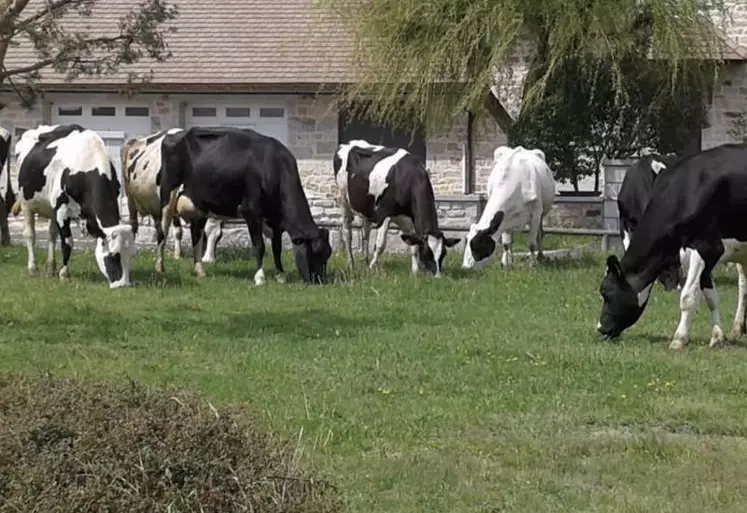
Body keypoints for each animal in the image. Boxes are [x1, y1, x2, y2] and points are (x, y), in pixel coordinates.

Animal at [10, 122, 136, 286]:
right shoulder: (61, 210)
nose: (123, 285)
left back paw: (50, 269)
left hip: (50, 209)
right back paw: (33, 268)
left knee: (51, 235)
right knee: (30, 235)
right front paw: (64, 274)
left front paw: (59, 271)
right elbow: (67, 242)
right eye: (113, 255)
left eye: (132, 255)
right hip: (27, 203)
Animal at [159, 124, 332, 284]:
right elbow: (259, 246)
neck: (273, 166)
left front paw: (280, 276)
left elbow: (277, 248)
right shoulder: (251, 212)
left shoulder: (275, 220)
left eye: (328, 253)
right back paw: (161, 267)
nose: (320, 281)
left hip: (199, 205)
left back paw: (200, 271)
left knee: (196, 234)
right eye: (314, 253)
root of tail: (173, 134)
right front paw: (260, 278)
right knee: (164, 231)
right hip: (167, 198)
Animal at [334, 139, 462, 276]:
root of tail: (348, 143)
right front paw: (372, 267)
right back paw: (351, 264)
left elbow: (413, 245)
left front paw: (415, 271)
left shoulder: (410, 219)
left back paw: (364, 262)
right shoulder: (385, 214)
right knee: (347, 232)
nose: (438, 276)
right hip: (343, 199)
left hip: (367, 207)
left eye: (443, 254)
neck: (409, 178)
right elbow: (380, 244)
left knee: (365, 233)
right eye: (427, 253)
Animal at [596, 142, 747, 350]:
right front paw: (717, 336)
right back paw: (737, 329)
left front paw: (679, 339)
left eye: (606, 293)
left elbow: (688, 297)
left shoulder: (707, 248)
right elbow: (710, 296)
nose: (600, 328)